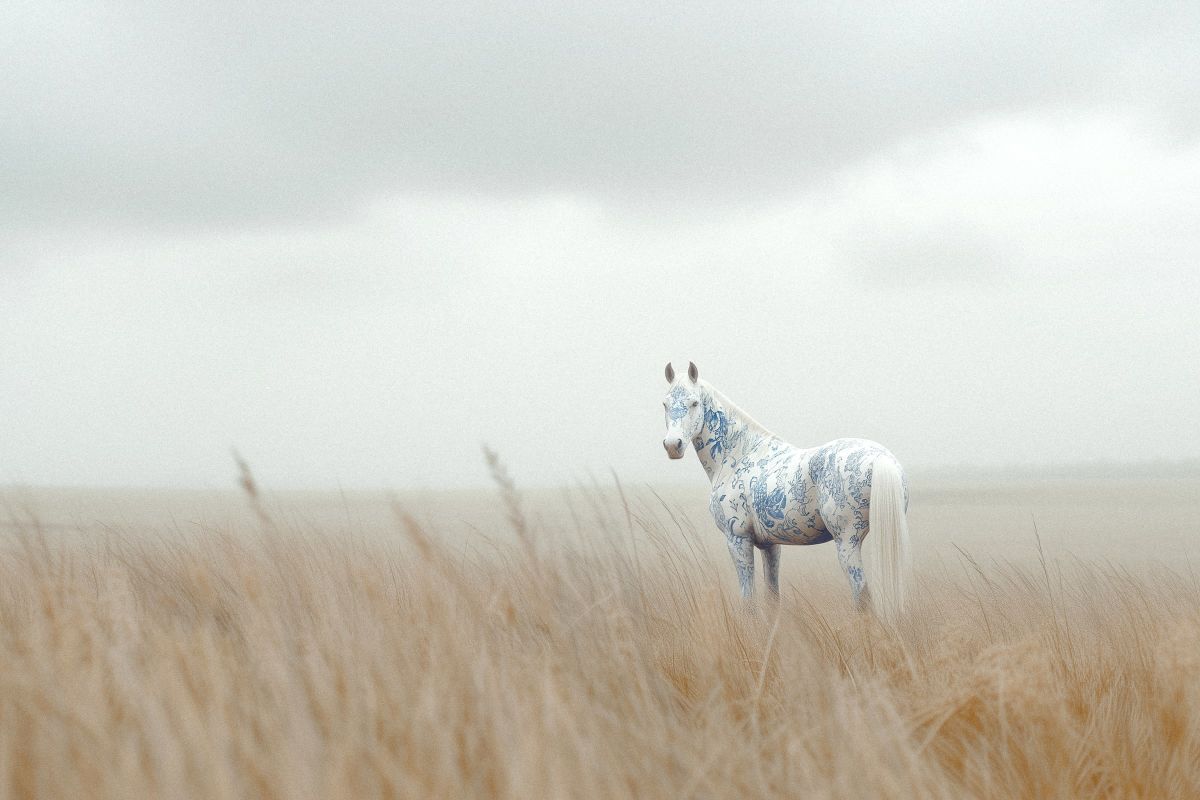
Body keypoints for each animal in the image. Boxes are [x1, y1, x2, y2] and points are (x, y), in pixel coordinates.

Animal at [660, 361, 911, 617]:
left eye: (694, 403)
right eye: (665, 404)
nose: (673, 446)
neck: (739, 454)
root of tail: (881, 458)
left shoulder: (738, 540)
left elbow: (748, 602)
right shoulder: (770, 546)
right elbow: (772, 600)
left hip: (847, 542)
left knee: (861, 595)